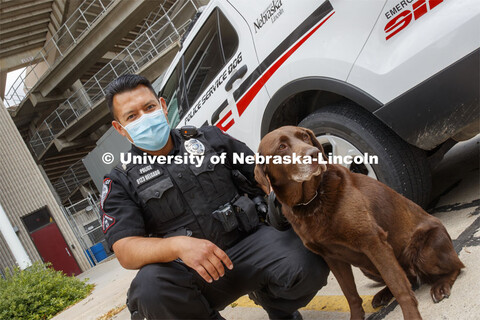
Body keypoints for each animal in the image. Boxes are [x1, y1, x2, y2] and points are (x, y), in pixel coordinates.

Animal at [255, 126, 464, 320]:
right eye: (281, 147)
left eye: (305, 136)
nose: (314, 154)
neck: (311, 202)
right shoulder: (332, 258)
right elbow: (351, 295)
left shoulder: (374, 243)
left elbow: (400, 288)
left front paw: (412, 316)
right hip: (367, 267)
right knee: (409, 278)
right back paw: (383, 294)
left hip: (425, 250)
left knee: (456, 267)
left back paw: (441, 286)